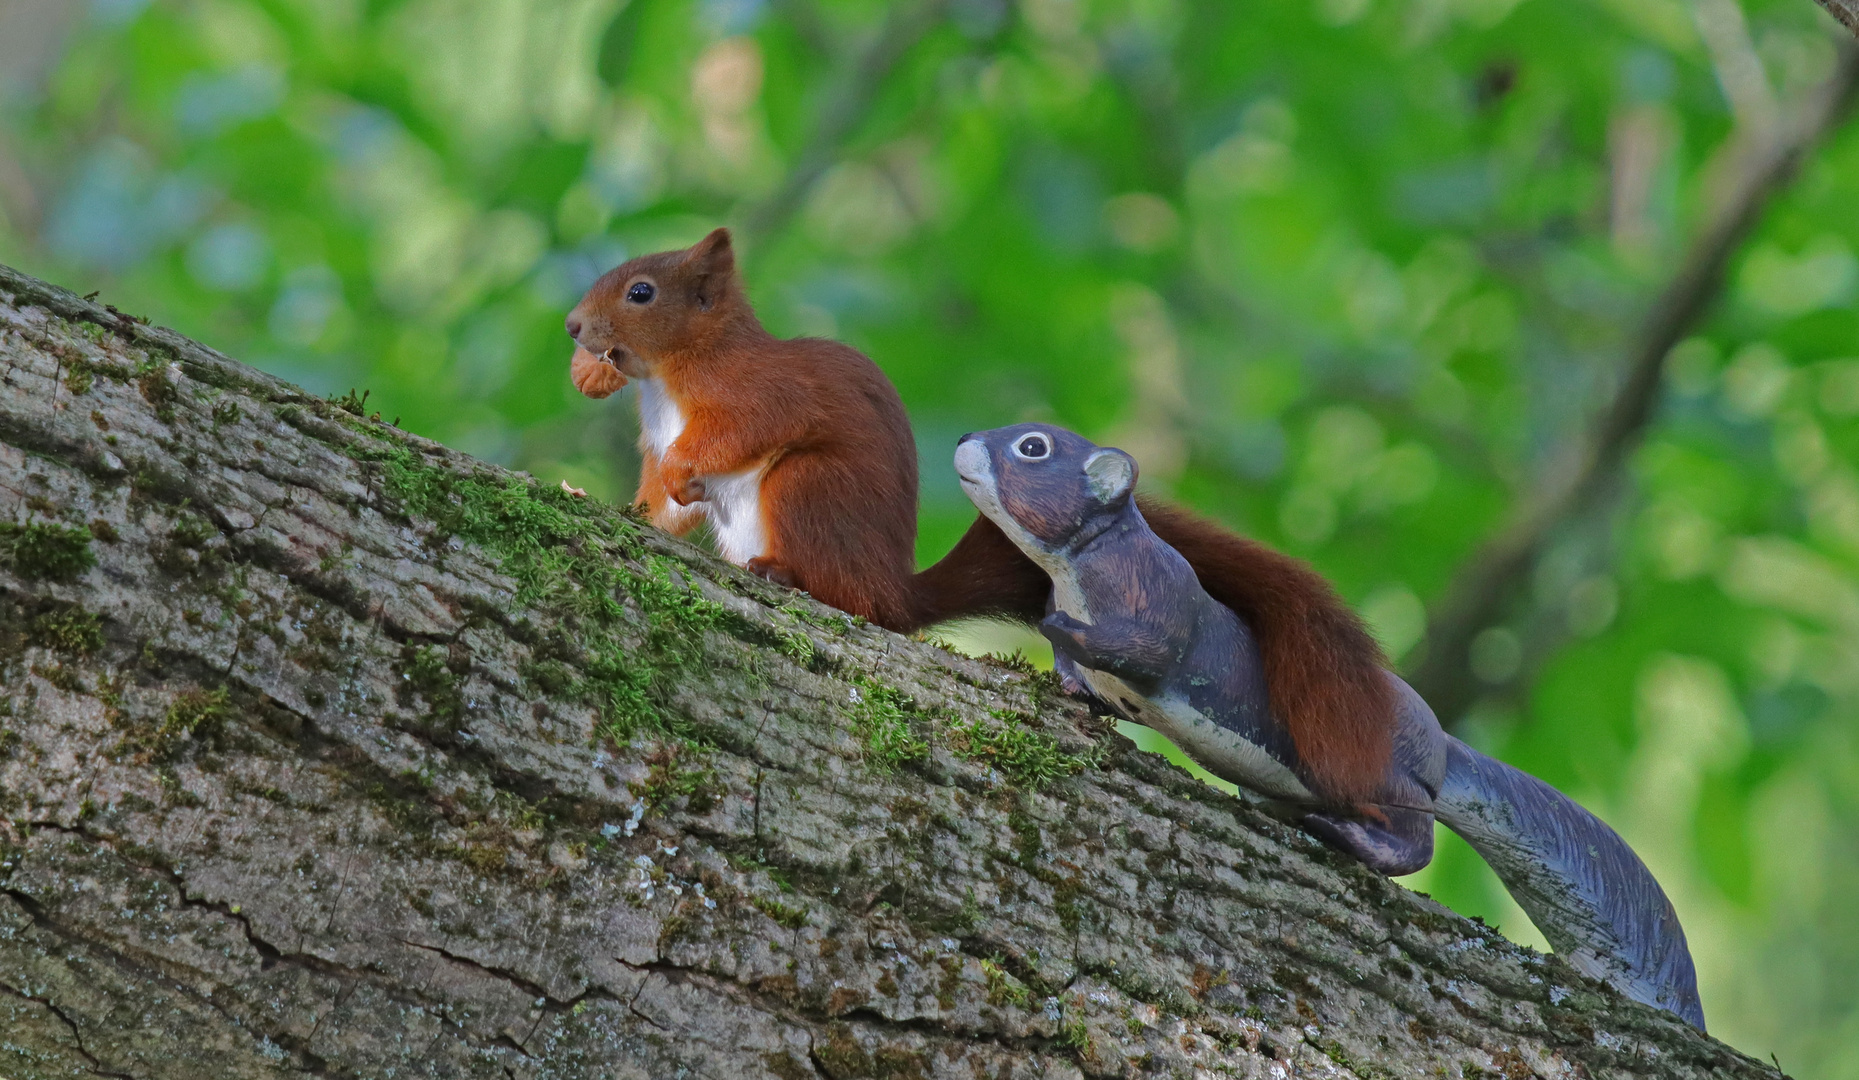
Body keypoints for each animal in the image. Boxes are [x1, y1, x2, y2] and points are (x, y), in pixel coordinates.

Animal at [565, 224, 1397, 799]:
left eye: (641, 292)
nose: (573, 327)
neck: (668, 379)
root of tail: (894, 587)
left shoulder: (757, 395)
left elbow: (736, 435)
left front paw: (684, 471)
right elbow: (659, 506)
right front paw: (617, 505)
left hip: (807, 488)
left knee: (852, 598)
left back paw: (787, 574)